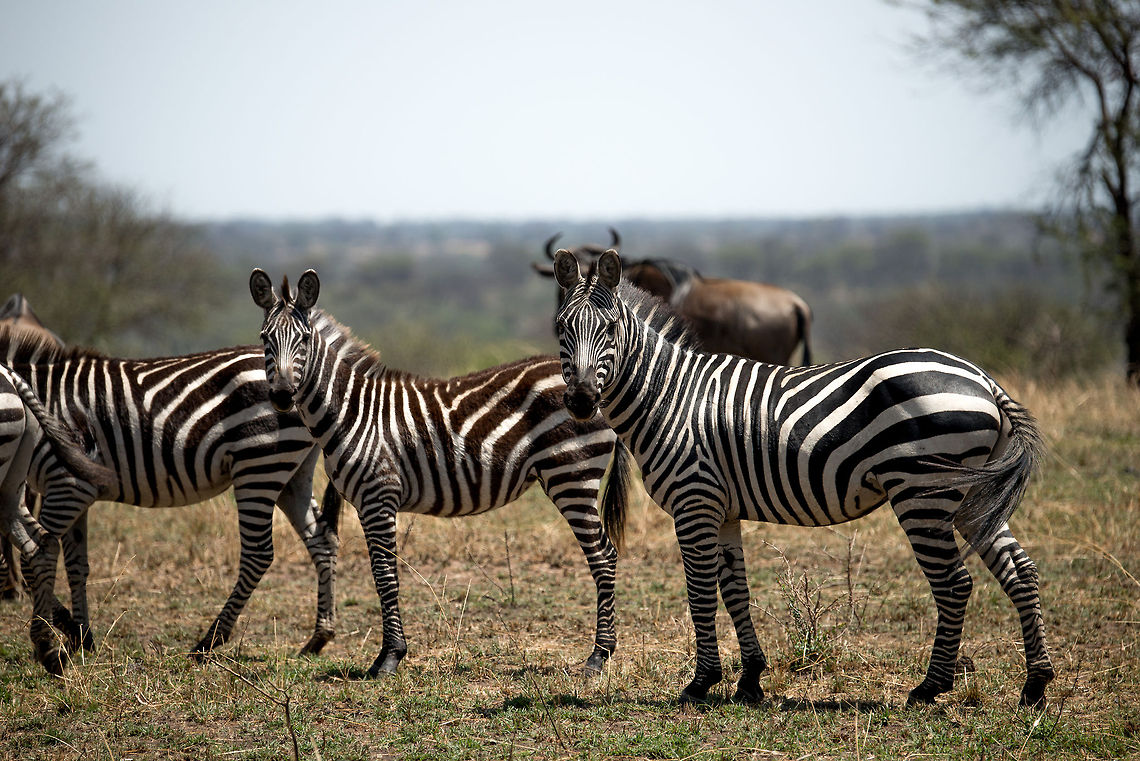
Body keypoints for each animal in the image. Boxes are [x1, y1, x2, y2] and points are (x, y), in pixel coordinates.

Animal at [250, 268, 630, 676]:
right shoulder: (366, 501)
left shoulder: (378, 495)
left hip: (572, 474)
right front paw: (390, 653)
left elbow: (385, 575)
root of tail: (598, 388)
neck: (351, 411)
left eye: (304, 339)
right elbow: (382, 573)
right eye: (264, 339)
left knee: (603, 555)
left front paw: (389, 657)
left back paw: (599, 655)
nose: (282, 396)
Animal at [552, 248, 1054, 708]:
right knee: (1020, 571)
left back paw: (931, 687)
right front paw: (750, 679)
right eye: (561, 329)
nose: (579, 401)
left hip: (923, 495)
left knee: (954, 583)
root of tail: (984, 381)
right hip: (972, 494)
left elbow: (700, 593)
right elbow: (735, 591)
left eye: (609, 331)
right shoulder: (723, 508)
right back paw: (1035, 686)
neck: (668, 396)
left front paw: (701, 684)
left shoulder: (694, 501)